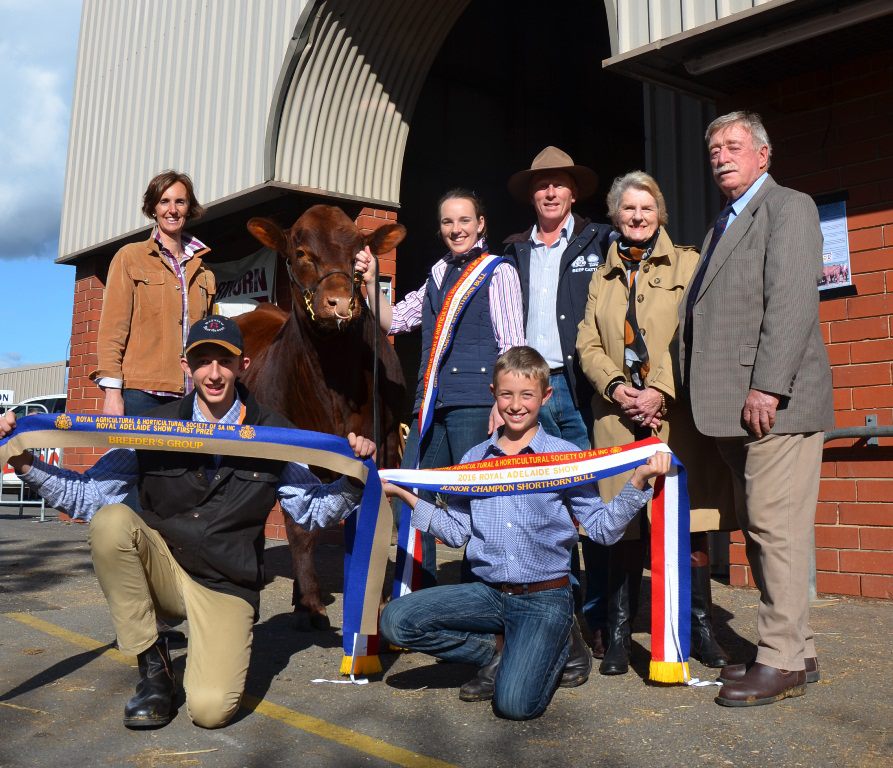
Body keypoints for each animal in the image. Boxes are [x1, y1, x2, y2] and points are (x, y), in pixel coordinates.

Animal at [235, 206, 406, 632]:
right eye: (301, 253)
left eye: (360, 253)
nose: (340, 303)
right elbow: (299, 530)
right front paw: (311, 604)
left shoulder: (385, 445)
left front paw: (375, 599)